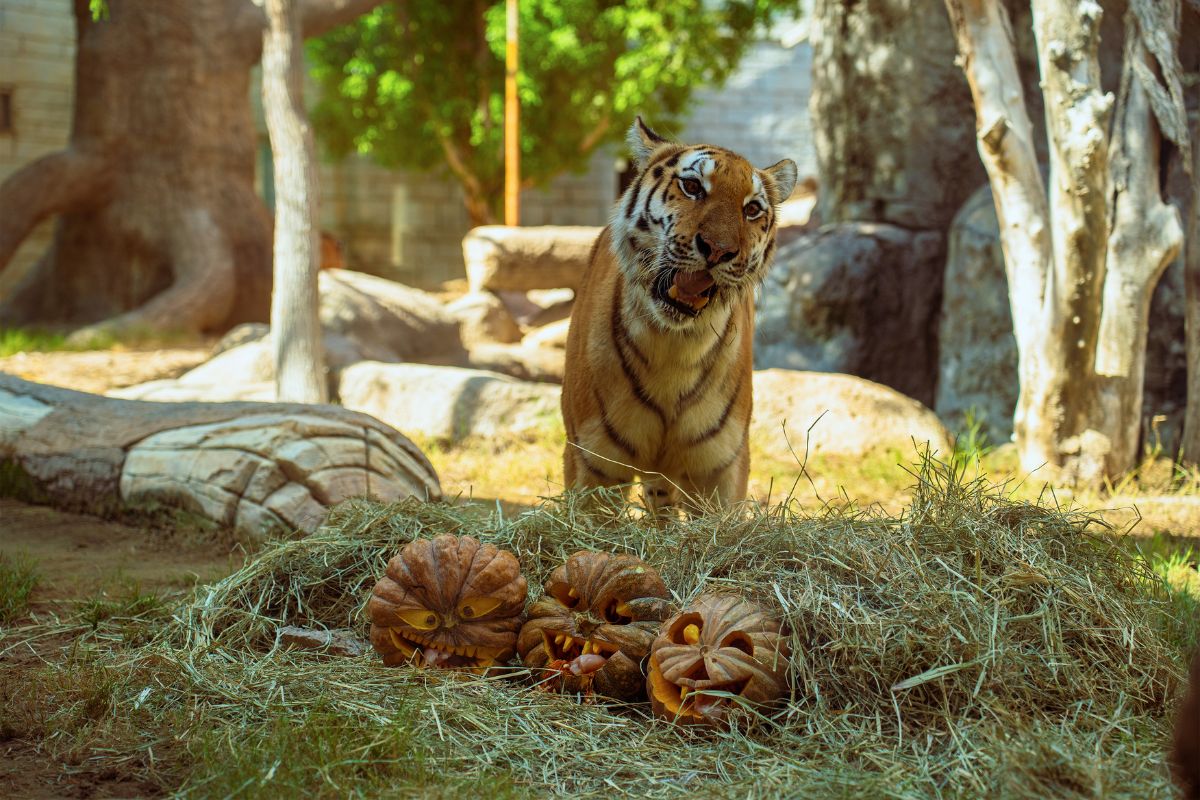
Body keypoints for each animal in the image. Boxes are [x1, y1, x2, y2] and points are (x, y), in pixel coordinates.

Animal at [561, 115, 796, 510]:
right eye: (692, 186)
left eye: (752, 209)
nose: (718, 250)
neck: (673, 346)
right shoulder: (593, 463)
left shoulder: (722, 468)